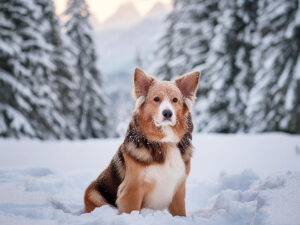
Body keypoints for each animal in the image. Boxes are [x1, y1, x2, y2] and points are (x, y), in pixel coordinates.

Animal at [84, 68, 199, 216]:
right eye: (156, 99)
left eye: (175, 100)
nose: (167, 113)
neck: (164, 142)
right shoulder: (132, 189)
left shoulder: (179, 189)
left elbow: (180, 213)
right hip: (93, 194)